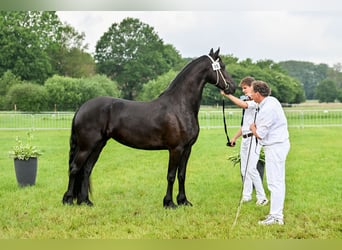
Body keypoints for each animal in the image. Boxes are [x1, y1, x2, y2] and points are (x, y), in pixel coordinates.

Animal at [62, 47, 235, 208]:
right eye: (222, 66)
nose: (232, 87)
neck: (180, 105)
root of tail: (81, 108)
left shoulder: (187, 149)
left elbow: (181, 175)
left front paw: (183, 201)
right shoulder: (176, 149)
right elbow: (171, 175)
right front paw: (169, 203)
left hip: (98, 145)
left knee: (86, 170)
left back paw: (85, 201)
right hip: (86, 146)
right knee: (75, 168)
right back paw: (68, 200)